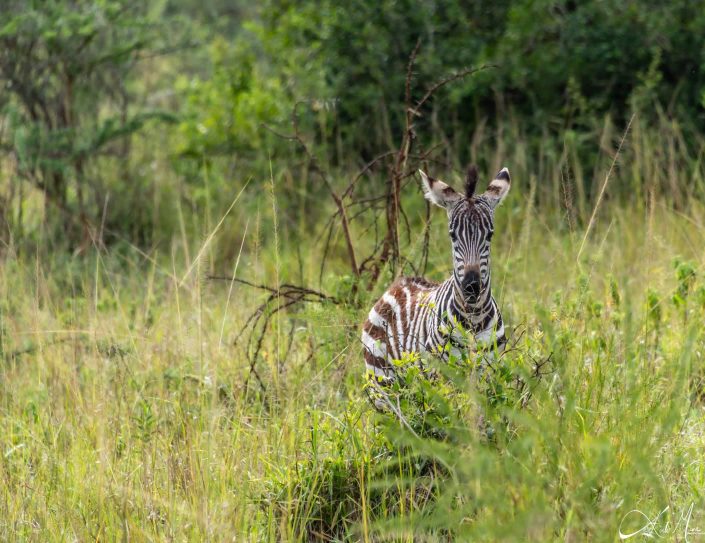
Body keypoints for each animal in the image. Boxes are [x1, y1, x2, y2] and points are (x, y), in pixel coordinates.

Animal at [360, 164, 508, 384]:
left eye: (490, 235)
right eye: (452, 235)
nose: (472, 287)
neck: (474, 319)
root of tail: (397, 285)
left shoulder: (490, 373)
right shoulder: (442, 375)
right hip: (380, 379)